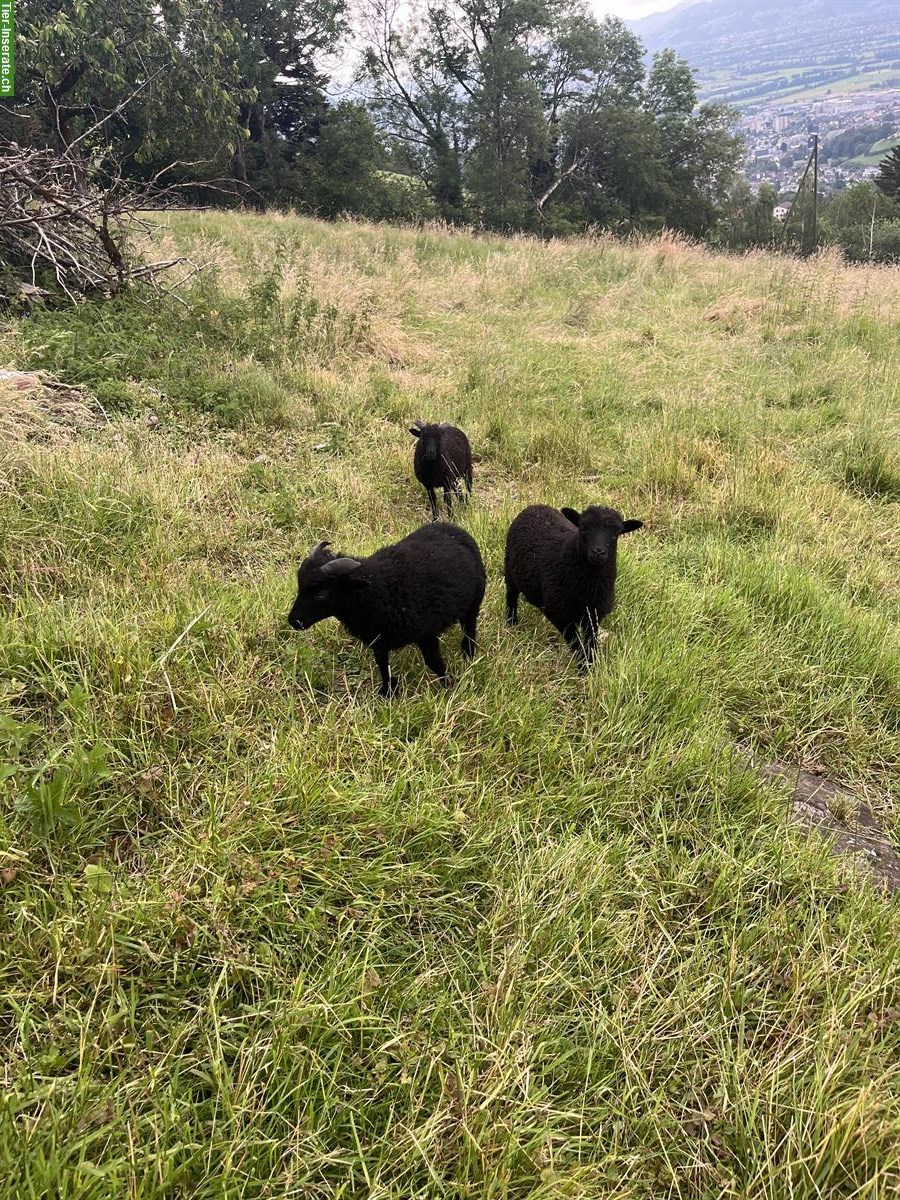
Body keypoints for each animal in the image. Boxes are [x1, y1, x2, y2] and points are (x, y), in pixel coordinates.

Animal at [289, 523, 487, 700]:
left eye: (321, 593)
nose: (293, 621)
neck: (378, 590)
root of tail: (451, 527)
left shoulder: (426, 633)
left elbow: (434, 662)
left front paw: (450, 685)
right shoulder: (378, 638)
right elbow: (382, 664)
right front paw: (387, 691)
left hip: (473, 602)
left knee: (469, 628)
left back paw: (468, 654)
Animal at [504, 499, 643, 662]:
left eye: (615, 534)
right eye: (583, 529)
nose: (598, 552)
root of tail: (535, 506)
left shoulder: (593, 614)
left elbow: (591, 642)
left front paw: (590, 663)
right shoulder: (559, 613)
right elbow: (577, 643)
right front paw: (583, 664)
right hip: (510, 571)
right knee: (511, 596)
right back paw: (511, 623)